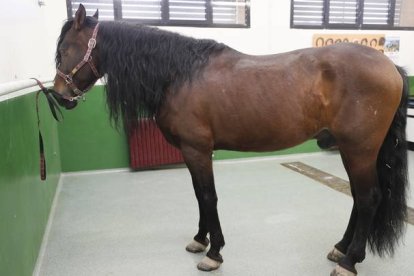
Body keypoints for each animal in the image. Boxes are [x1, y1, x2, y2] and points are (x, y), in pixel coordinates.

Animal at [53, 4, 410, 276]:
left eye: (65, 49)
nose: (59, 96)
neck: (180, 74)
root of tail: (390, 66)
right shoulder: (191, 153)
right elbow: (199, 197)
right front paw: (200, 240)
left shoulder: (198, 150)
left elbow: (208, 197)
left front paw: (214, 253)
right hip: (353, 150)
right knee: (358, 198)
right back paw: (340, 249)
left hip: (359, 150)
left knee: (368, 199)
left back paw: (349, 261)